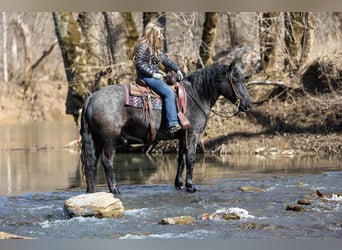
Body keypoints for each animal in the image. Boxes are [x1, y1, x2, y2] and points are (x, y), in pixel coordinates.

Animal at [80, 61, 251, 194]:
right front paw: (191, 186)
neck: (196, 95)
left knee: (91, 162)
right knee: (107, 161)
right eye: (235, 80)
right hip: (109, 140)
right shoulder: (193, 134)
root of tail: (91, 98)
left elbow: (181, 159)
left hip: (97, 140)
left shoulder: (182, 136)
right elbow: (191, 158)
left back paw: (92, 190)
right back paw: (114, 189)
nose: (248, 105)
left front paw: (179, 184)